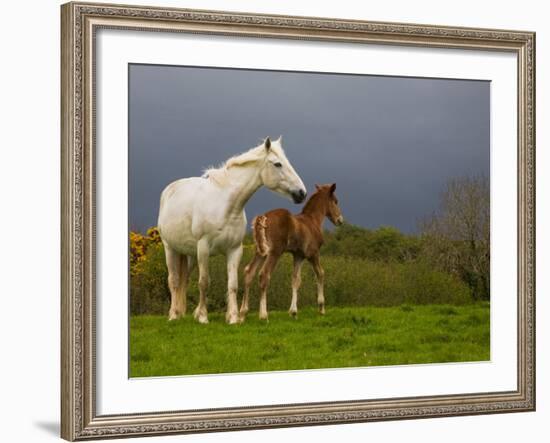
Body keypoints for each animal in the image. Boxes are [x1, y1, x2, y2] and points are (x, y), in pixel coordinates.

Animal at [157, 137, 308, 324]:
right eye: (277, 164)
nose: (301, 193)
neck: (225, 206)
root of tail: (169, 190)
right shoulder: (203, 248)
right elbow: (204, 282)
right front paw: (203, 317)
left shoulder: (235, 249)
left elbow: (233, 285)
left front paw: (234, 318)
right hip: (170, 248)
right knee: (174, 281)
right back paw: (173, 315)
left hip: (189, 254)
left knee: (183, 280)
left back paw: (181, 313)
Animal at [242, 182, 344, 320]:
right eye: (335, 201)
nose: (340, 220)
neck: (312, 221)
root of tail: (263, 218)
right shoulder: (313, 254)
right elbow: (320, 273)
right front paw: (321, 307)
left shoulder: (298, 255)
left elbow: (295, 280)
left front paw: (293, 311)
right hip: (275, 252)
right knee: (264, 274)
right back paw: (263, 315)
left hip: (260, 251)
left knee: (249, 272)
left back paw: (242, 313)